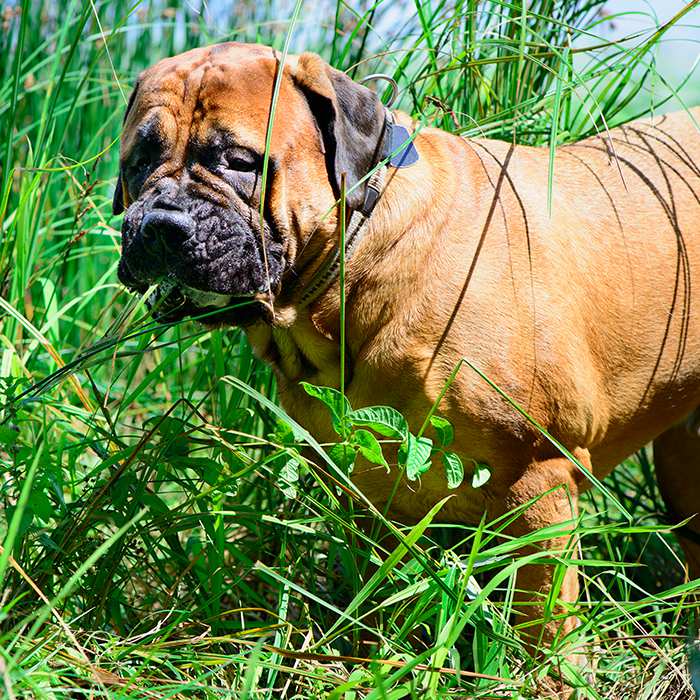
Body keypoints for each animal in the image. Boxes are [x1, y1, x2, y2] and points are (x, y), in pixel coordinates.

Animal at [113, 42, 700, 652]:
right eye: (138, 162)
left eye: (239, 162)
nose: (160, 224)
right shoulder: (369, 486)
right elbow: (377, 592)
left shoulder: (540, 479)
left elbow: (543, 619)